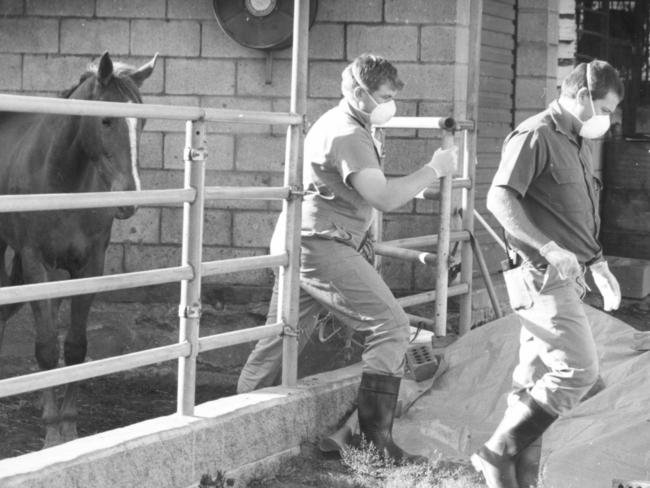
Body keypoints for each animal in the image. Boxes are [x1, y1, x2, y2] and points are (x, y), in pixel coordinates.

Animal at [0, 51, 156, 448]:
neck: (61, 178)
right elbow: (45, 348)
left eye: (143, 121)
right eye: (105, 120)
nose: (127, 200)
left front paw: (68, 426)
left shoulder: (88, 266)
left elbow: (74, 346)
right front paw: (52, 433)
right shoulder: (36, 261)